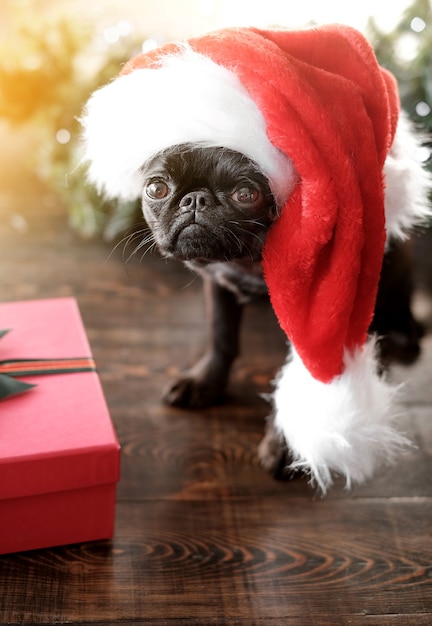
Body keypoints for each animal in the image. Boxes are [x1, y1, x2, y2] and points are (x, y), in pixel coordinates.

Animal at [140, 141, 424, 472]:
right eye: (156, 188)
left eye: (246, 194)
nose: (195, 199)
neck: (250, 261)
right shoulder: (218, 284)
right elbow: (221, 337)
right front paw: (204, 381)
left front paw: (288, 443)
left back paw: (405, 330)